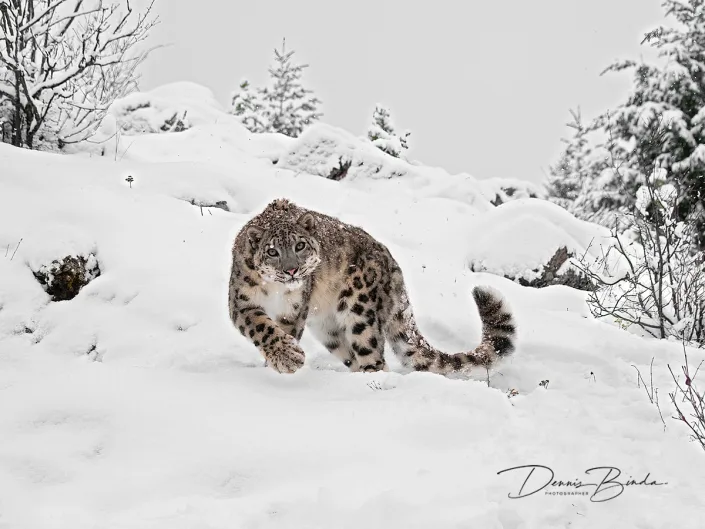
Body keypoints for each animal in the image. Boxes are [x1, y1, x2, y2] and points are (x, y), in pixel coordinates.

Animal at [228, 198, 516, 375]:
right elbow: (263, 328)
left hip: (360, 310)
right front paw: (286, 359)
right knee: (352, 355)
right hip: (328, 329)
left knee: (372, 354)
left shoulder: (294, 309)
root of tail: (392, 264)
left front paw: (285, 362)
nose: (291, 270)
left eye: (300, 245)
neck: (275, 292)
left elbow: (282, 330)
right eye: (272, 251)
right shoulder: (242, 302)